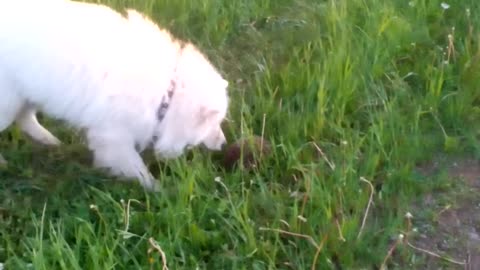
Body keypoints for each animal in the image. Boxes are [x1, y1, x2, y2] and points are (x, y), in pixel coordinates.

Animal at [0, 0, 231, 190]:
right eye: (213, 124)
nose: (224, 144)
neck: (167, 92)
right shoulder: (114, 135)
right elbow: (134, 165)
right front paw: (156, 188)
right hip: (10, 100)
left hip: (27, 92)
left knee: (25, 118)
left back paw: (49, 140)